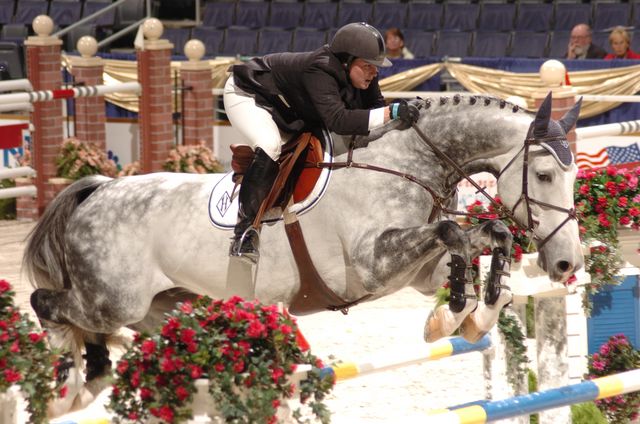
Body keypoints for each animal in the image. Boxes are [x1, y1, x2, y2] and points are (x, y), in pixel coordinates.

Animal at [23, 92, 584, 410]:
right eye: (543, 174)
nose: (567, 263)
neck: (406, 161)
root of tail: (97, 191)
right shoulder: (373, 265)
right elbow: (454, 232)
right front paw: (457, 315)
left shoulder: (417, 271)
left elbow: (486, 237)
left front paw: (465, 317)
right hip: (113, 298)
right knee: (49, 305)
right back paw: (73, 384)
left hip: (164, 306)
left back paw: (94, 376)